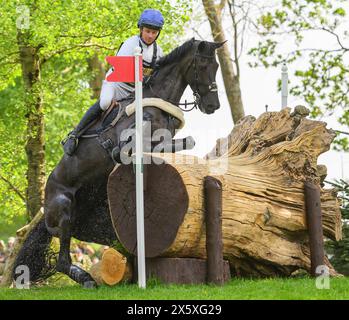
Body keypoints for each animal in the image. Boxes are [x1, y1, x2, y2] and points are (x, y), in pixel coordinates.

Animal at [12, 38, 223, 288]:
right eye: (202, 66)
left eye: (216, 67)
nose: (213, 106)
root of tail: (44, 215)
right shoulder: (121, 147)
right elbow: (130, 149)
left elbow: (186, 142)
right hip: (63, 208)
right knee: (62, 261)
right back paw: (86, 279)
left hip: (87, 214)